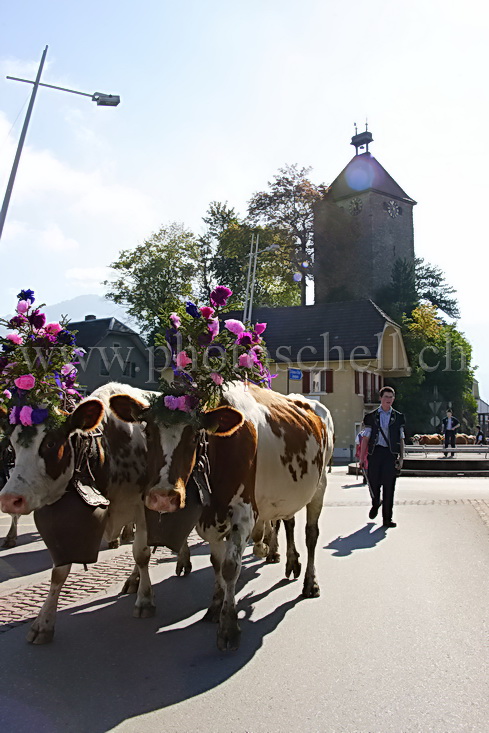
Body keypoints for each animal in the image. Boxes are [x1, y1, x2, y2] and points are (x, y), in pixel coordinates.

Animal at [0, 380, 193, 644]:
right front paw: (43, 623)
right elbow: (58, 572)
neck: (106, 452)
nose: (10, 499)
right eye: (12, 443)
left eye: (50, 443)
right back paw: (134, 579)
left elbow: (142, 554)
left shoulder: (144, 506)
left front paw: (145, 600)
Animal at [109, 380, 334, 648]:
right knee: (288, 521)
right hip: (286, 494)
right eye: (148, 432)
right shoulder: (209, 517)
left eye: (195, 435)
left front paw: (229, 626)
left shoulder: (244, 514)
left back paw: (310, 583)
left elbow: (229, 567)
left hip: (319, 485)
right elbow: (216, 563)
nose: (163, 496)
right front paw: (216, 607)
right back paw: (290, 562)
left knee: (311, 535)